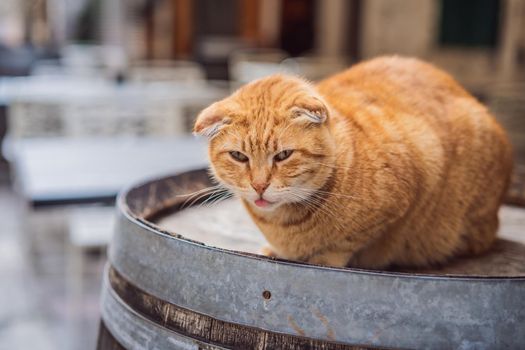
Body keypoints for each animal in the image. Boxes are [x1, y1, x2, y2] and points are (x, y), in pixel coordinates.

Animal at [193, 56, 512, 268]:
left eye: (283, 155)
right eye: (239, 156)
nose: (259, 186)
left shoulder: (408, 186)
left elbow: (344, 245)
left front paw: (322, 260)